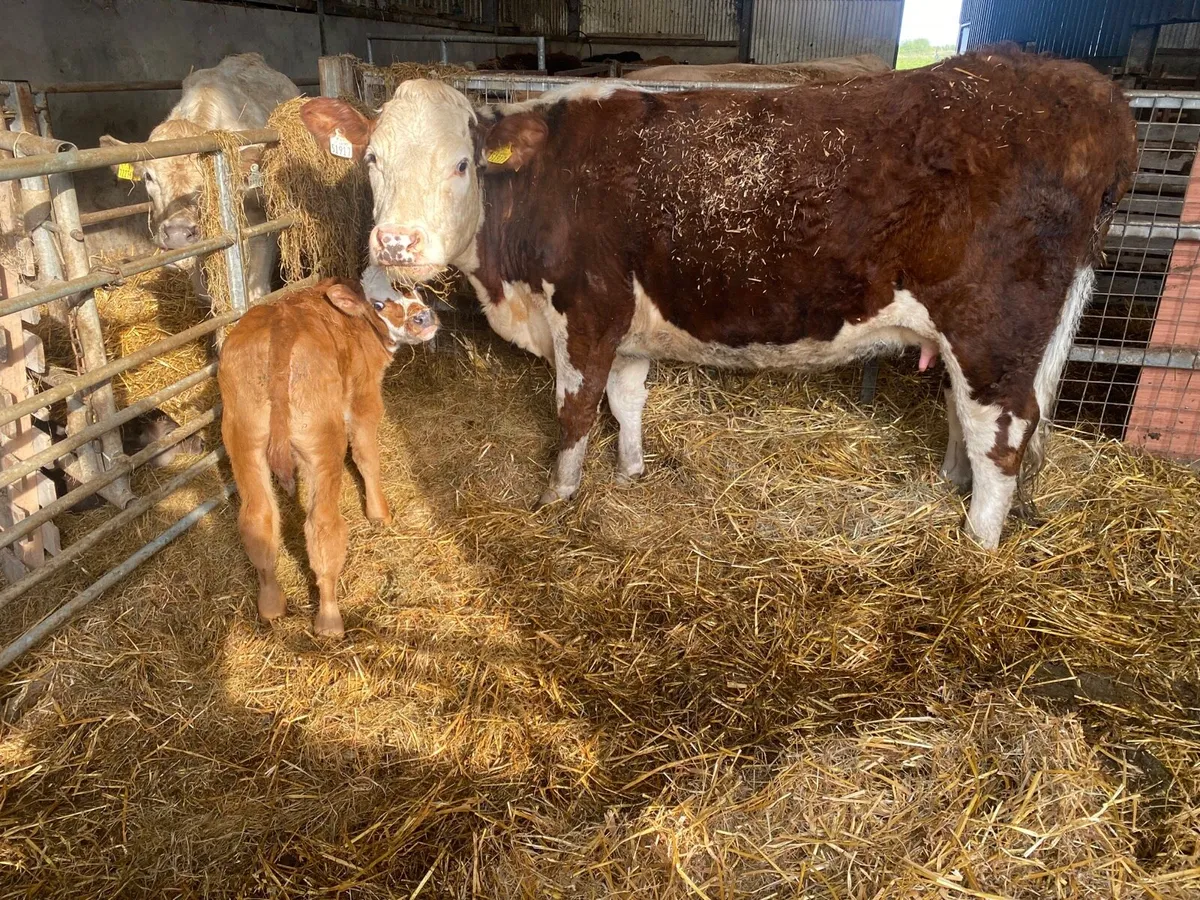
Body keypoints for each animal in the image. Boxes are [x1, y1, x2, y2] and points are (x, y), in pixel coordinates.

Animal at [219, 269, 438, 636]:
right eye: (378, 304)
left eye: (408, 287)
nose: (423, 318)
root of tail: (280, 328)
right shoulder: (364, 398)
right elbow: (366, 457)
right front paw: (379, 514)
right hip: (322, 442)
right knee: (323, 527)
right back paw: (330, 619)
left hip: (243, 440)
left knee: (258, 519)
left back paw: (271, 605)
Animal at [299, 48, 1137, 549]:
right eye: (371, 160)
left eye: (463, 164)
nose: (397, 244)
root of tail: (1085, 87)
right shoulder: (627, 325)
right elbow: (627, 401)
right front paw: (631, 474)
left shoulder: (587, 311)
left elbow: (574, 412)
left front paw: (559, 497)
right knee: (973, 420)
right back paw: (949, 489)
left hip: (995, 325)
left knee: (1003, 430)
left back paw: (977, 543)